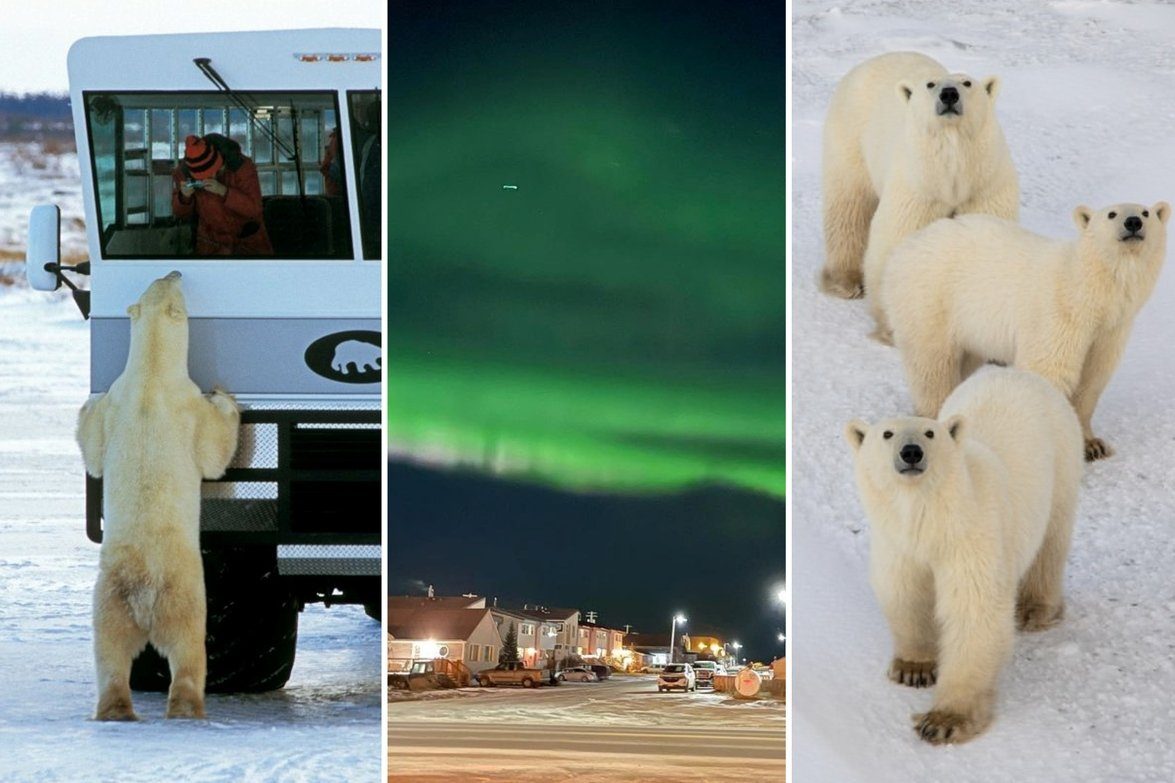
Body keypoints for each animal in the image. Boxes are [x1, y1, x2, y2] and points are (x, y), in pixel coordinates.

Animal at [75, 270, 238, 719]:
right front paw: (226, 396)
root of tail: (144, 594)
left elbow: (92, 443)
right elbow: (215, 452)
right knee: (188, 646)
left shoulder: (115, 403)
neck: (149, 373)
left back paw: (115, 710)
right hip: (183, 591)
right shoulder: (188, 405)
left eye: (159, 280)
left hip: (107, 599)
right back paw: (186, 707)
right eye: (170, 284)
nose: (175, 271)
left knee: (109, 652)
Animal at [817, 49, 1019, 336]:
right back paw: (846, 282)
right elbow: (898, 239)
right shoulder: (918, 186)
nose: (949, 94)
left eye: (967, 82)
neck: (952, 171)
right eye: (930, 84)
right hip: (850, 137)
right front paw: (894, 324)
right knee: (849, 206)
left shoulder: (984, 185)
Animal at [845, 366, 1081, 743]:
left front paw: (943, 720)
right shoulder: (898, 544)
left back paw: (1034, 608)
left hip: (1062, 461)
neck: (930, 518)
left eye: (930, 433)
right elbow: (906, 593)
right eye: (887, 433)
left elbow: (974, 609)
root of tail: (1017, 372)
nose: (911, 452)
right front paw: (913, 668)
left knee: (1051, 541)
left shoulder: (970, 537)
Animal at [883, 199, 1165, 463]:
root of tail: (905, 246)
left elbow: (1093, 378)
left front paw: (1092, 444)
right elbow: (1048, 369)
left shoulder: (1111, 329)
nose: (1133, 222)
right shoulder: (1059, 314)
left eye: (1146, 212)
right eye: (1111, 214)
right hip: (930, 300)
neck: (1088, 294)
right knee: (932, 365)